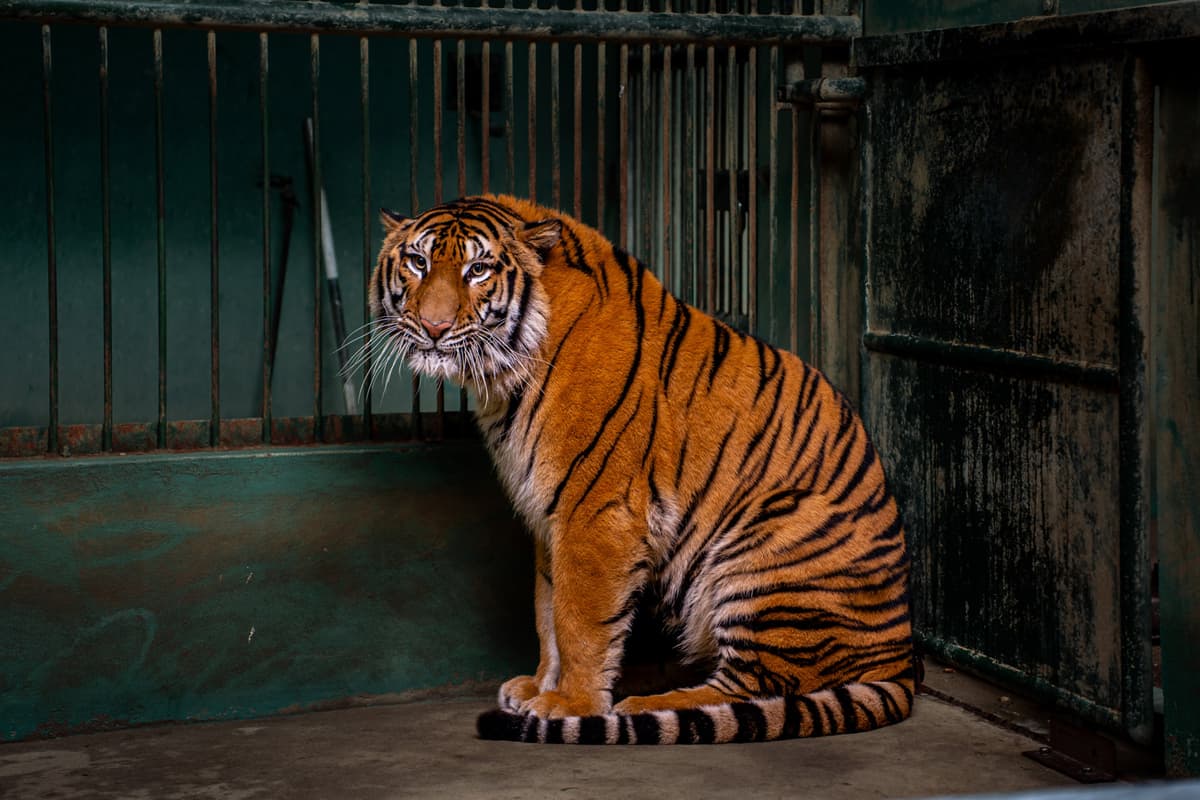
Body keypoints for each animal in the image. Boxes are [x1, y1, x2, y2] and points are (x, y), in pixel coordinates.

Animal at [365, 194, 914, 744]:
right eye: (418, 262)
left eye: (477, 270)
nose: (434, 328)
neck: (505, 375)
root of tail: (902, 658)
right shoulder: (548, 515)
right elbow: (547, 611)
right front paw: (540, 687)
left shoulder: (594, 511)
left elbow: (578, 620)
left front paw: (569, 704)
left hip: (765, 548)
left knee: (758, 689)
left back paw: (643, 704)